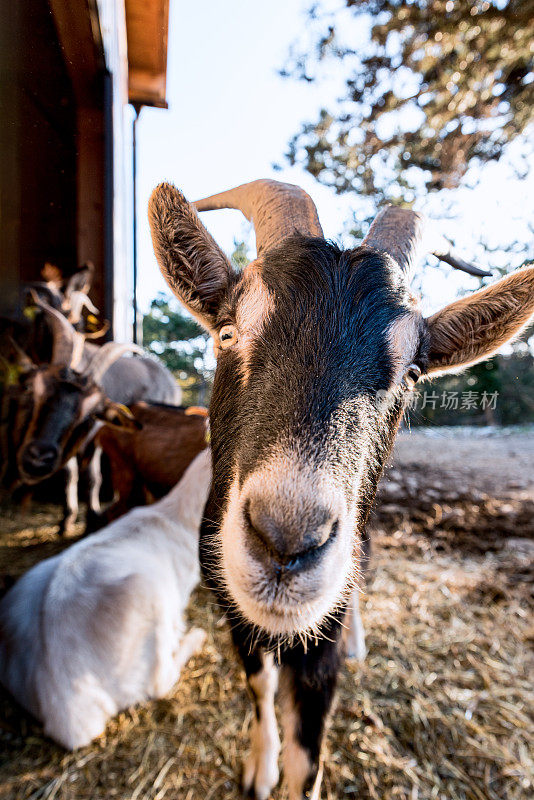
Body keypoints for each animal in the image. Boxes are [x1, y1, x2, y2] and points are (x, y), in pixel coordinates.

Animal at [149, 180, 534, 800]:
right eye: (228, 333)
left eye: (412, 374)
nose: (286, 541)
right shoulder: (232, 604)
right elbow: (259, 686)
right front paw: (260, 767)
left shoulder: (319, 637)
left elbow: (309, 752)